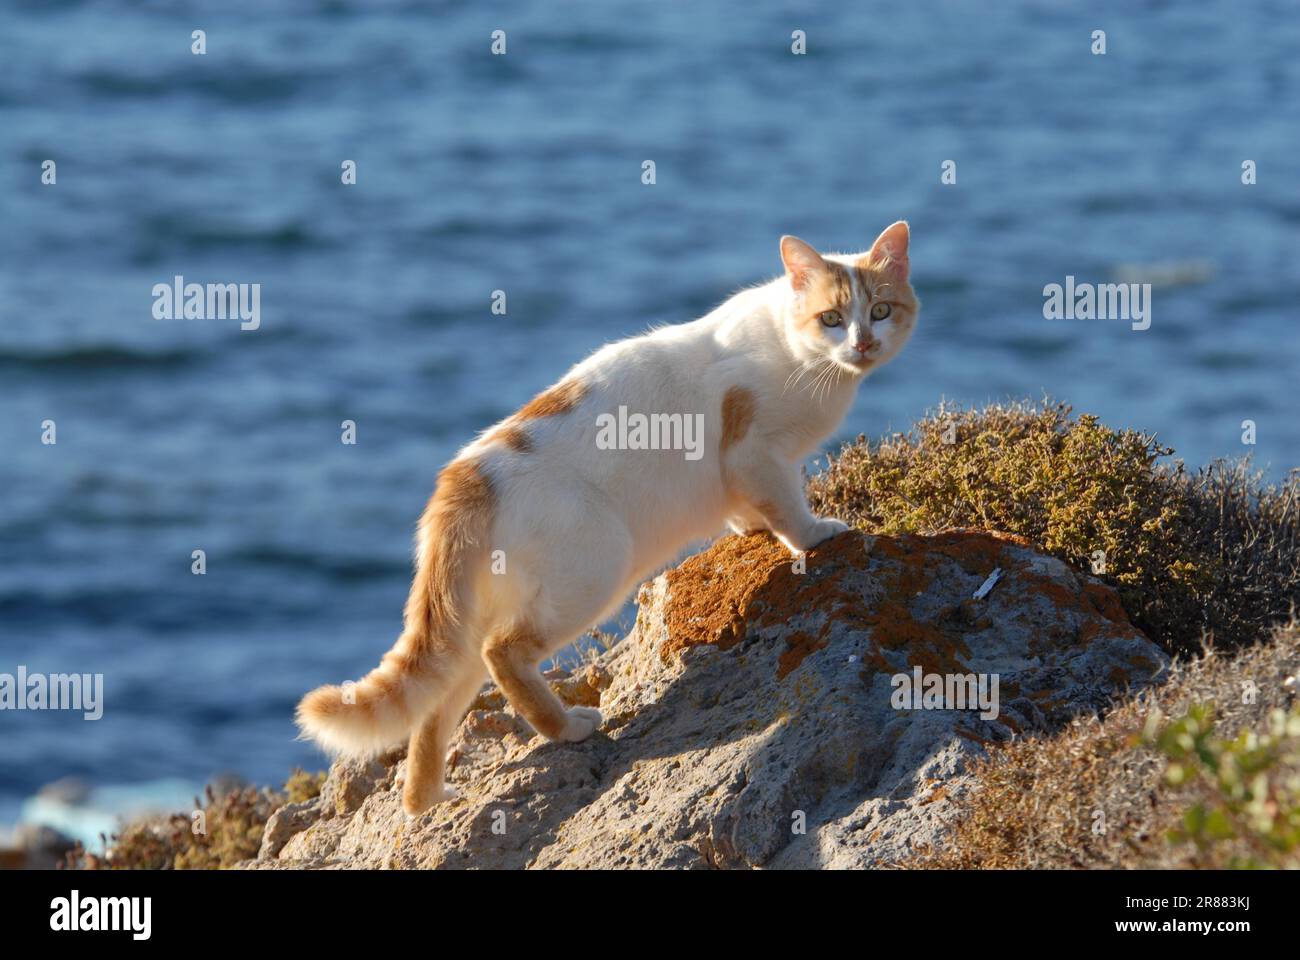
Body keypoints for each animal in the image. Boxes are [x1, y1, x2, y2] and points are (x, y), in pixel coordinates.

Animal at [299, 221, 920, 811]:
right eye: (832, 319)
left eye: (880, 311)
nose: (864, 343)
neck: (801, 357)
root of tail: (466, 475)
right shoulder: (754, 453)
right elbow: (786, 503)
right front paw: (812, 535)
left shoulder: (743, 472)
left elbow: (746, 507)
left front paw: (752, 527)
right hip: (594, 569)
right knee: (503, 652)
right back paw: (567, 728)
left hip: (477, 615)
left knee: (435, 710)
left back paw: (427, 801)